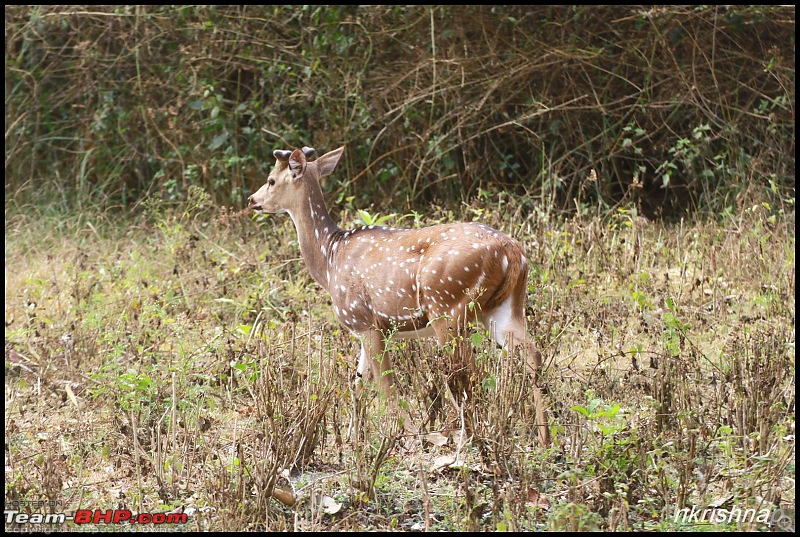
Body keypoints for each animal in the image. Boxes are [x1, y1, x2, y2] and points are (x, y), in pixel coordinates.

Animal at [248, 144, 552, 446]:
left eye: (271, 180)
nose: (252, 199)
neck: (330, 258)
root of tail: (511, 250)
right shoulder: (366, 327)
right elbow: (357, 383)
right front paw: (352, 438)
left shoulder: (365, 321)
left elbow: (386, 385)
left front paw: (409, 436)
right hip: (502, 309)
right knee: (532, 354)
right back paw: (544, 438)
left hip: (447, 306)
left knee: (464, 373)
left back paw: (467, 437)